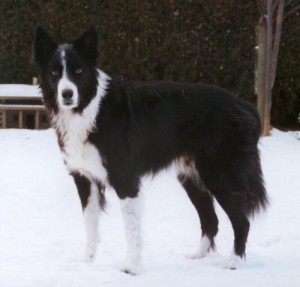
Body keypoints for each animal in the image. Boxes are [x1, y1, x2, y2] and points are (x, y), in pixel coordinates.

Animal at [34, 24, 268, 274]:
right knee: (210, 220)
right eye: (54, 73)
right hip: (192, 177)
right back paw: (198, 255)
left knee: (241, 221)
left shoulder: (125, 180)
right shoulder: (84, 177)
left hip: (219, 174)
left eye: (78, 71)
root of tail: (246, 106)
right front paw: (86, 261)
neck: (88, 110)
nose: (67, 94)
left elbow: (131, 229)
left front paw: (132, 267)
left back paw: (233, 262)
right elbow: (90, 223)